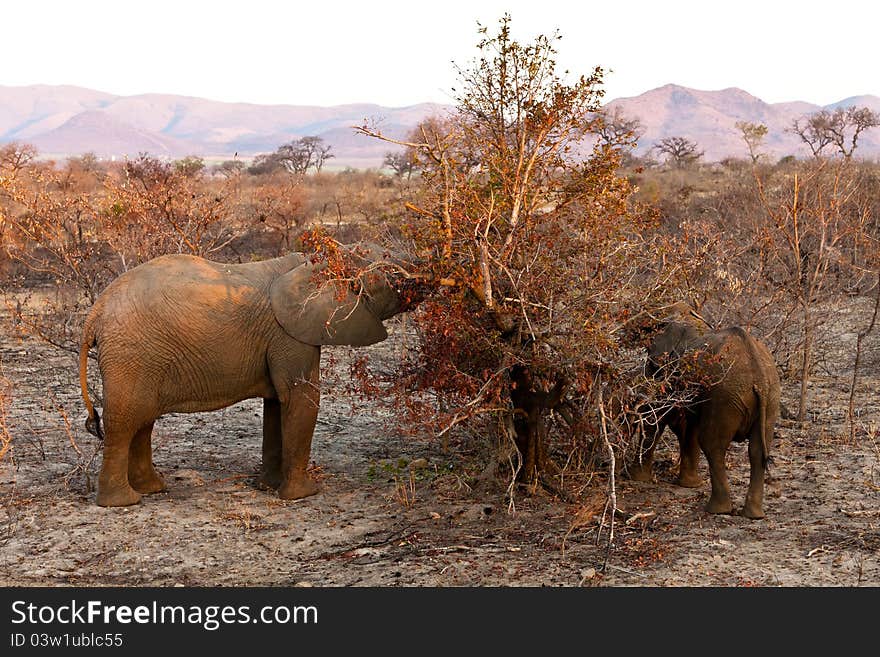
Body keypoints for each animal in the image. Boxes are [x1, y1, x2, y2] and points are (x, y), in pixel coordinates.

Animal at [79, 246, 422, 508]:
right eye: (393, 279)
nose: (421, 279)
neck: (312, 264)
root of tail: (94, 313)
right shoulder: (290, 334)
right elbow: (300, 397)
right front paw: (304, 495)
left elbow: (276, 404)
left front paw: (267, 487)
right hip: (132, 354)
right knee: (125, 421)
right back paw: (122, 502)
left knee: (143, 420)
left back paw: (152, 489)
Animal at [628, 304, 780, 520]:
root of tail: (758, 375)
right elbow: (687, 424)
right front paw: (689, 484)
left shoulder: (665, 367)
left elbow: (655, 414)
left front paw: (635, 477)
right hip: (770, 395)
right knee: (757, 450)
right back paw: (754, 515)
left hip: (725, 396)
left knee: (712, 444)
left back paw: (717, 510)